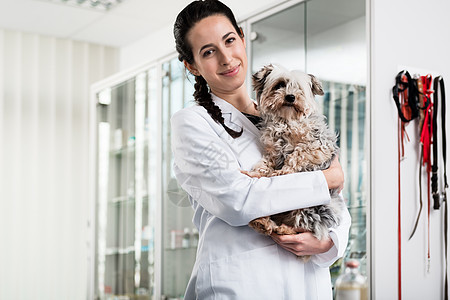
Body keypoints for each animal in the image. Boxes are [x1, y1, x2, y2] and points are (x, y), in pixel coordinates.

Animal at [244, 63, 342, 248]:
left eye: (299, 88)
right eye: (279, 85)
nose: (290, 97)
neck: (286, 121)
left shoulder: (320, 145)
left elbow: (297, 154)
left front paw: (283, 172)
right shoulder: (272, 151)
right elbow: (265, 164)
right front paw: (256, 173)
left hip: (311, 206)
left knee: (303, 227)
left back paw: (283, 229)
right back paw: (262, 222)